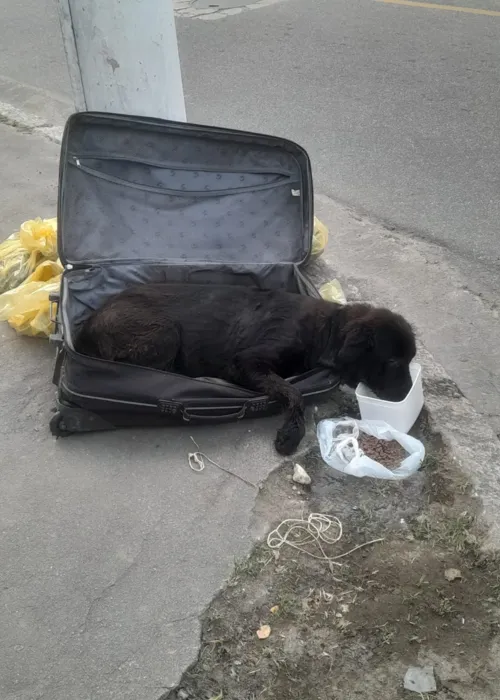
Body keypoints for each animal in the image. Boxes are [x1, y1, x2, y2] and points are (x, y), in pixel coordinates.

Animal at [77, 284, 414, 454]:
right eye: (394, 362)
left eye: (410, 360)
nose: (410, 394)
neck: (324, 331)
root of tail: (87, 325)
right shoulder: (248, 362)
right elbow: (294, 393)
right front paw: (291, 435)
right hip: (165, 332)